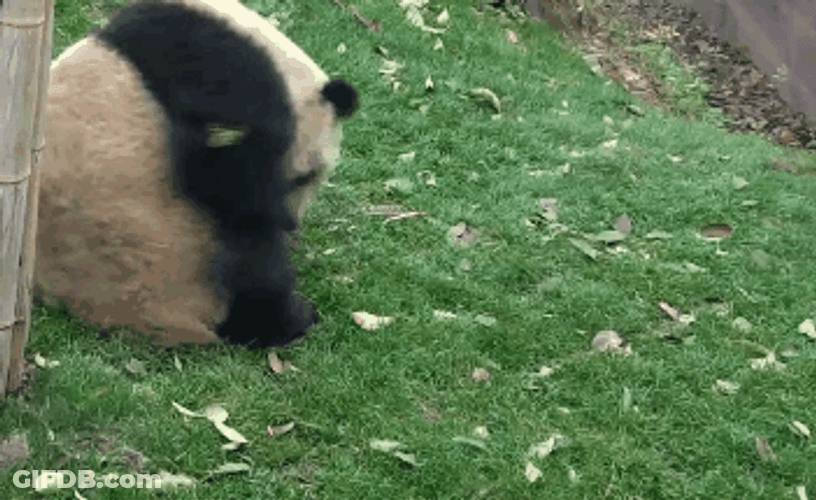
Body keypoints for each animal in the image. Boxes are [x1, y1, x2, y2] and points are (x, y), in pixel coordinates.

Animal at [36, 0, 358, 348]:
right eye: (305, 177)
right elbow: (232, 182)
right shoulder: (224, 72)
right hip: (171, 255)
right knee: (250, 258)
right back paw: (287, 320)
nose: (292, 224)